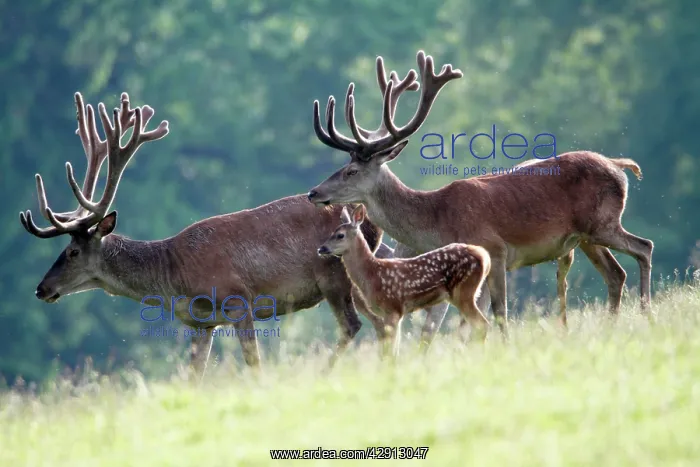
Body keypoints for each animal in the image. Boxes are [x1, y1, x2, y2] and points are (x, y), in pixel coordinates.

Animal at [19, 91, 414, 381]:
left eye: (72, 252)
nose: (41, 288)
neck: (173, 276)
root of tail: (369, 220)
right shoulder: (202, 322)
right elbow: (194, 376)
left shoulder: (237, 297)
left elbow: (253, 363)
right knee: (383, 323)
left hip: (334, 276)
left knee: (358, 324)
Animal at [306, 49, 654, 336]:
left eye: (351, 171)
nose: (313, 192)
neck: (437, 221)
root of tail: (618, 166)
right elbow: (465, 323)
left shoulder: (495, 250)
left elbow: (499, 312)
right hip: (586, 237)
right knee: (616, 273)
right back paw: (613, 324)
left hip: (603, 222)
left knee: (644, 247)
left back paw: (646, 314)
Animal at [318, 204, 491, 358]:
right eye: (332, 232)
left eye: (340, 235)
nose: (321, 249)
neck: (372, 274)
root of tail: (484, 256)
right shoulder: (397, 313)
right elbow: (394, 350)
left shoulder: (392, 307)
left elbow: (390, 352)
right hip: (471, 292)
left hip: (463, 292)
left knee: (482, 324)